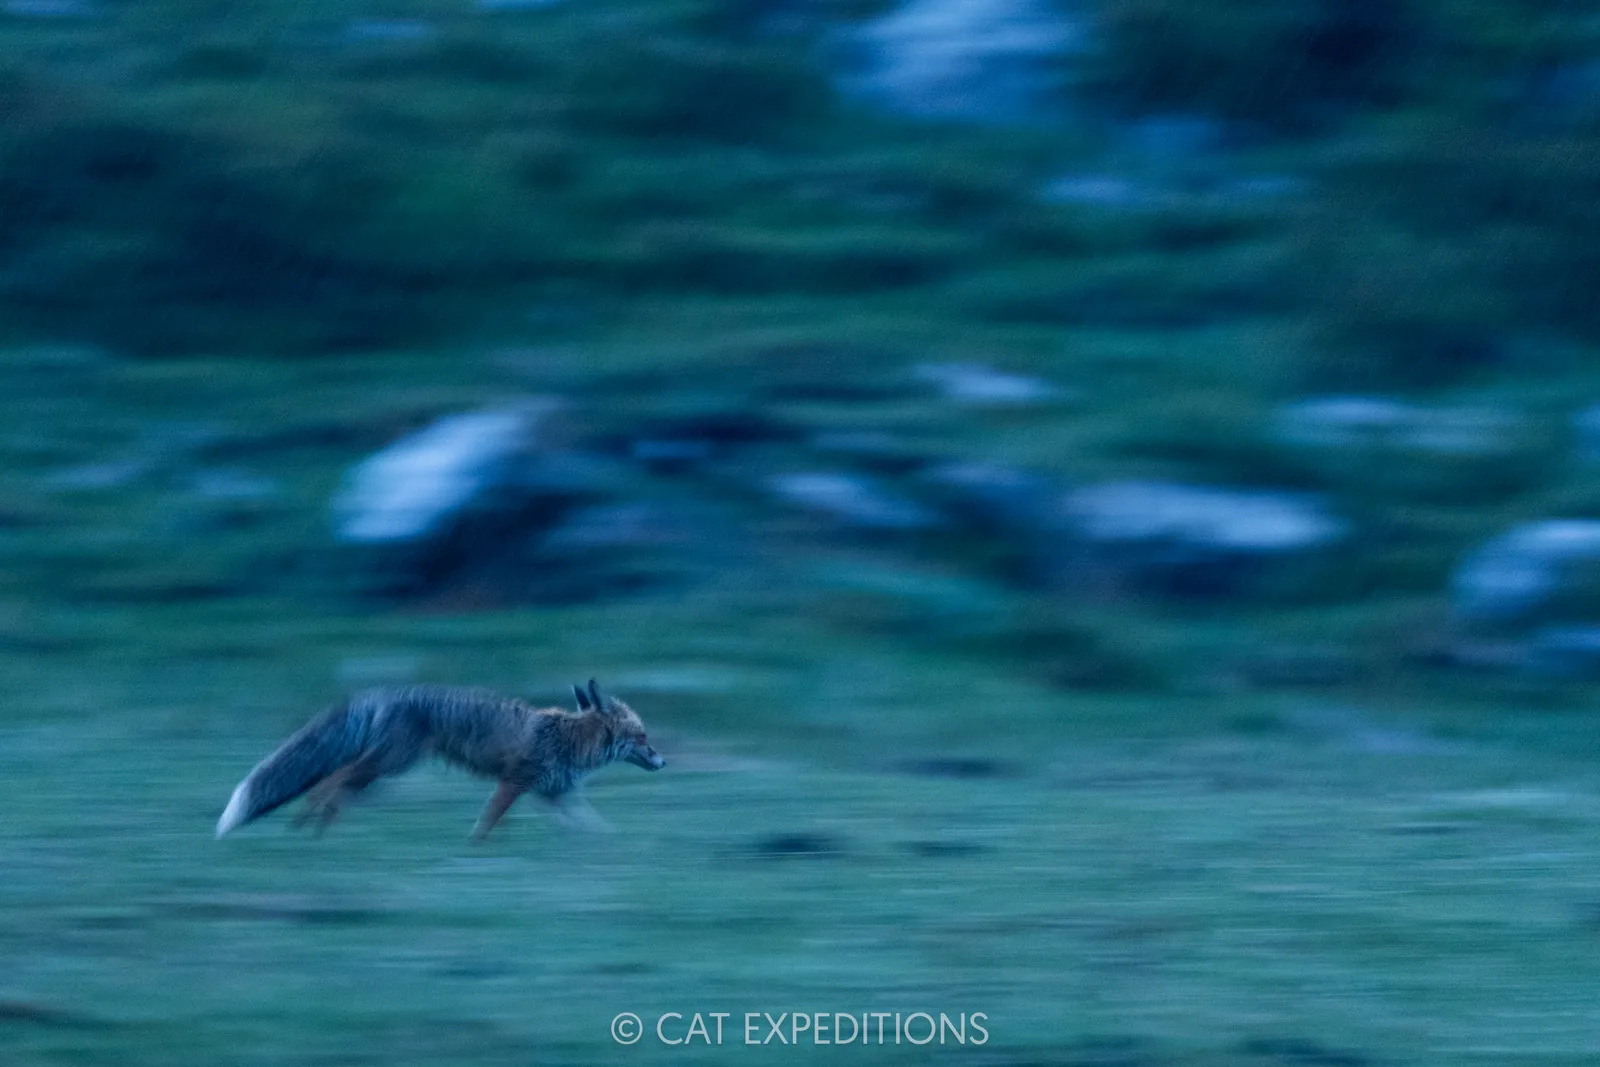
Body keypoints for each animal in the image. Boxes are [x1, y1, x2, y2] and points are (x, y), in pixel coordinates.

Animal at [215, 678, 664, 840]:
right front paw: (474, 851)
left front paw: (616, 848)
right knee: (333, 780)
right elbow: (485, 825)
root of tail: (383, 692)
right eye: (643, 737)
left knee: (330, 784)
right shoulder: (513, 783)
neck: (570, 740)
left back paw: (308, 829)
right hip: (389, 765)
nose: (661, 762)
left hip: (383, 772)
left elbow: (595, 829)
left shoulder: (556, 795)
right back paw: (312, 829)